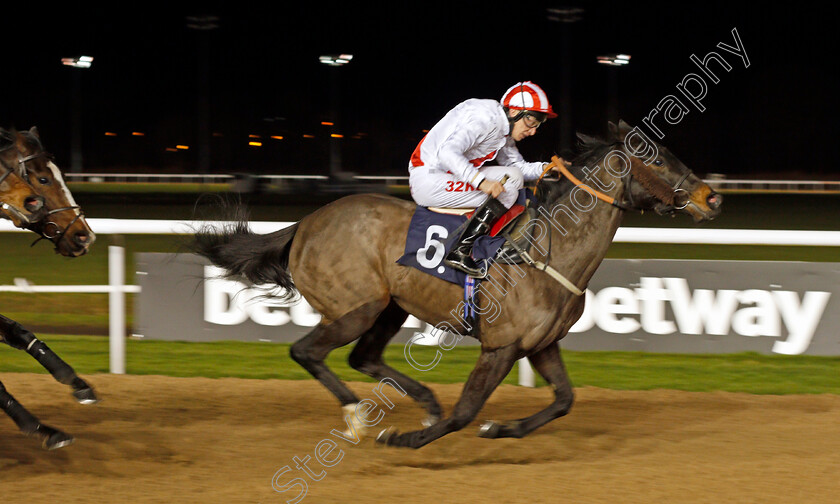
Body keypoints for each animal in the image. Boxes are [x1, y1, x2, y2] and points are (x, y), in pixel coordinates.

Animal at [192, 121, 720, 448]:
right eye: (657, 158)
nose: (710, 197)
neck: (547, 248)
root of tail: (305, 223)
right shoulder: (501, 346)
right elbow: (466, 411)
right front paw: (404, 439)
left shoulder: (541, 344)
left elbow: (564, 401)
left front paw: (499, 429)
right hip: (355, 307)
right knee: (307, 351)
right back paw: (359, 416)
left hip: (390, 306)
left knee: (362, 357)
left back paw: (424, 403)